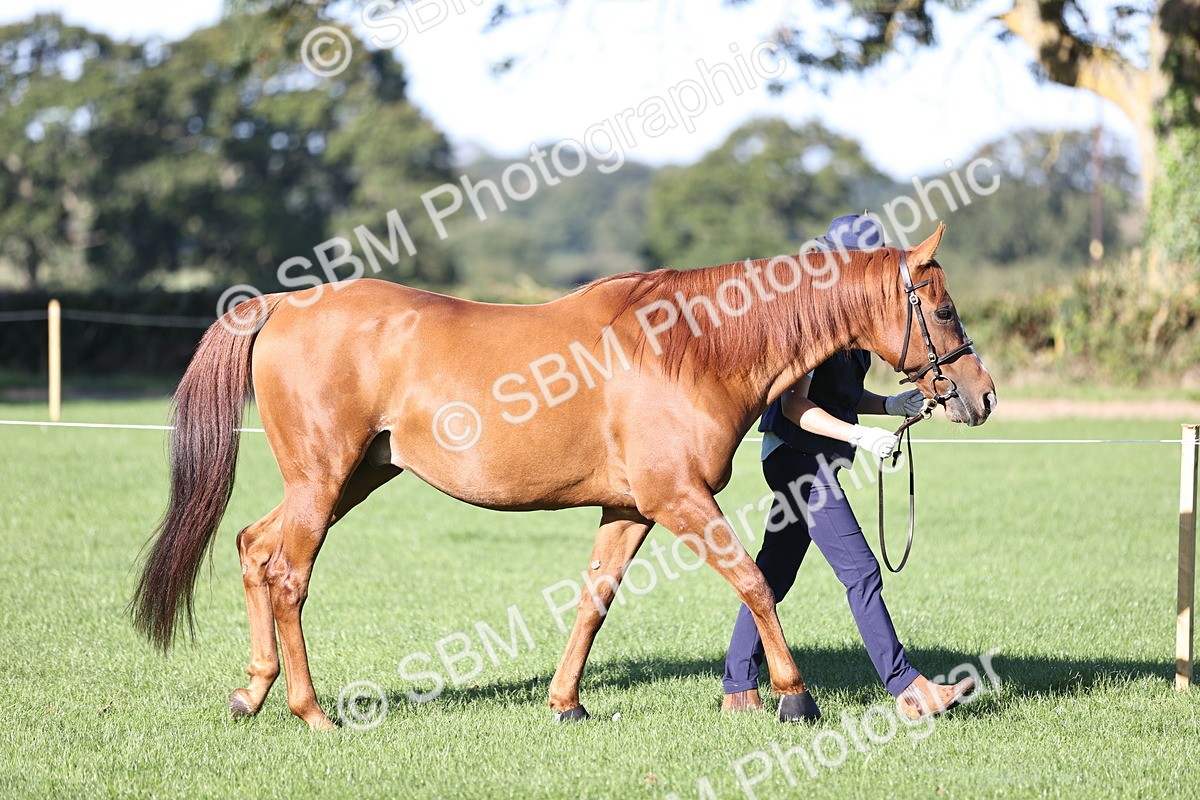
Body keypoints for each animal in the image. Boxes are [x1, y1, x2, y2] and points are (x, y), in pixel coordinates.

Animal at [131, 222, 996, 730]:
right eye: (944, 310)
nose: (979, 394)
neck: (688, 346)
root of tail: (283, 305)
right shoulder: (680, 499)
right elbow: (753, 581)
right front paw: (794, 694)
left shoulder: (631, 509)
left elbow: (594, 602)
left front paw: (566, 702)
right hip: (322, 481)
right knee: (287, 575)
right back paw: (310, 712)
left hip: (349, 480)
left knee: (252, 547)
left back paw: (252, 692)